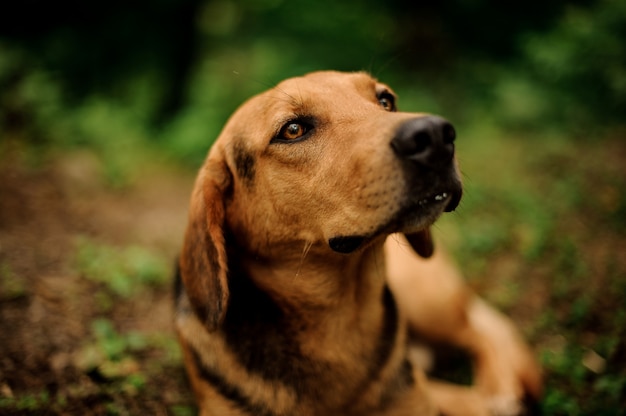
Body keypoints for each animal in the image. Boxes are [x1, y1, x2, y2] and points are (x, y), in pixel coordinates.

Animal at [173, 72, 540, 416]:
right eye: (292, 129)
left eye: (386, 100)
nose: (436, 134)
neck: (338, 321)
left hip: (427, 301)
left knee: (479, 333)